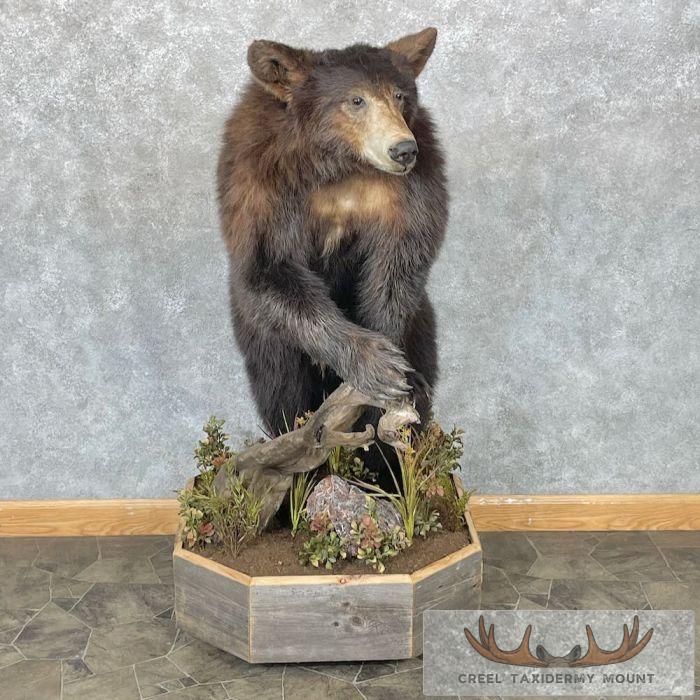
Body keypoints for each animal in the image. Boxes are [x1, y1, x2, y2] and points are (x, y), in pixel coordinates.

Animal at [217, 28, 448, 473]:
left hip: (423, 322)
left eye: (399, 95)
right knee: (281, 392)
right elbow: (267, 267)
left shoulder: (411, 188)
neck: (339, 164)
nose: (402, 149)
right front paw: (374, 361)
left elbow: (400, 260)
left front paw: (390, 366)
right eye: (356, 100)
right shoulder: (260, 184)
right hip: (262, 338)